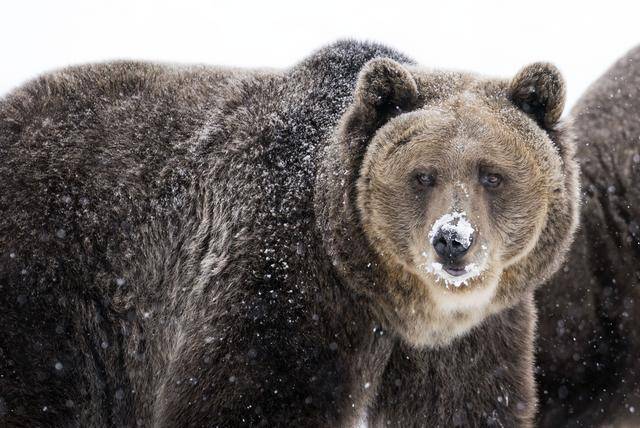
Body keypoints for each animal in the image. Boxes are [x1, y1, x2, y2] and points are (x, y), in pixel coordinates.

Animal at [0, 39, 580, 424]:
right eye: (423, 175)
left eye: (492, 174)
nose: (452, 240)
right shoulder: (284, 281)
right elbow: (247, 396)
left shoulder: (470, 344)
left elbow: (468, 403)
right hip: (53, 284)